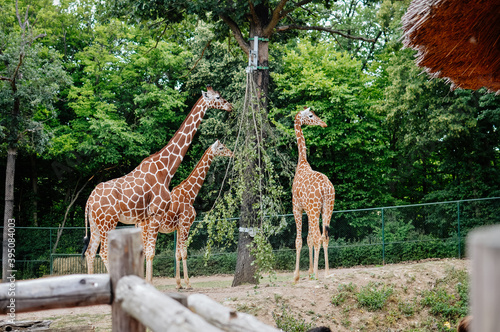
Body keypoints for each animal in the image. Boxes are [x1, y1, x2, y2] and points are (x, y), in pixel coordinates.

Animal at [141, 139, 234, 286]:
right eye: (221, 148)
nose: (232, 153)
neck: (190, 194)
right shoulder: (185, 224)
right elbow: (184, 253)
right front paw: (188, 283)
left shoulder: (178, 227)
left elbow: (177, 254)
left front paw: (179, 284)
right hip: (147, 227)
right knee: (147, 252)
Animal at [292, 106, 336, 282]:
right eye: (311, 115)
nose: (323, 123)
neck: (302, 163)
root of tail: (326, 188)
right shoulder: (307, 210)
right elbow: (309, 238)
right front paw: (310, 271)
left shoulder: (297, 208)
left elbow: (299, 240)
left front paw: (296, 276)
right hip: (327, 208)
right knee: (325, 236)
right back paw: (327, 273)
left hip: (314, 209)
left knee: (318, 236)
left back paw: (317, 274)